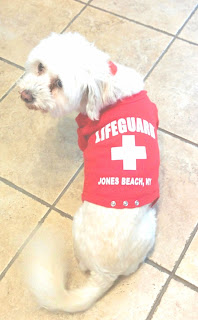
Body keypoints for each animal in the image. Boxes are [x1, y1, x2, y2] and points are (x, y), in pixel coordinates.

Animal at [19, 32, 160, 312]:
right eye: (40, 67)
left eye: (58, 84)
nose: (26, 95)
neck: (111, 87)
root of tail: (103, 273)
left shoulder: (83, 136)